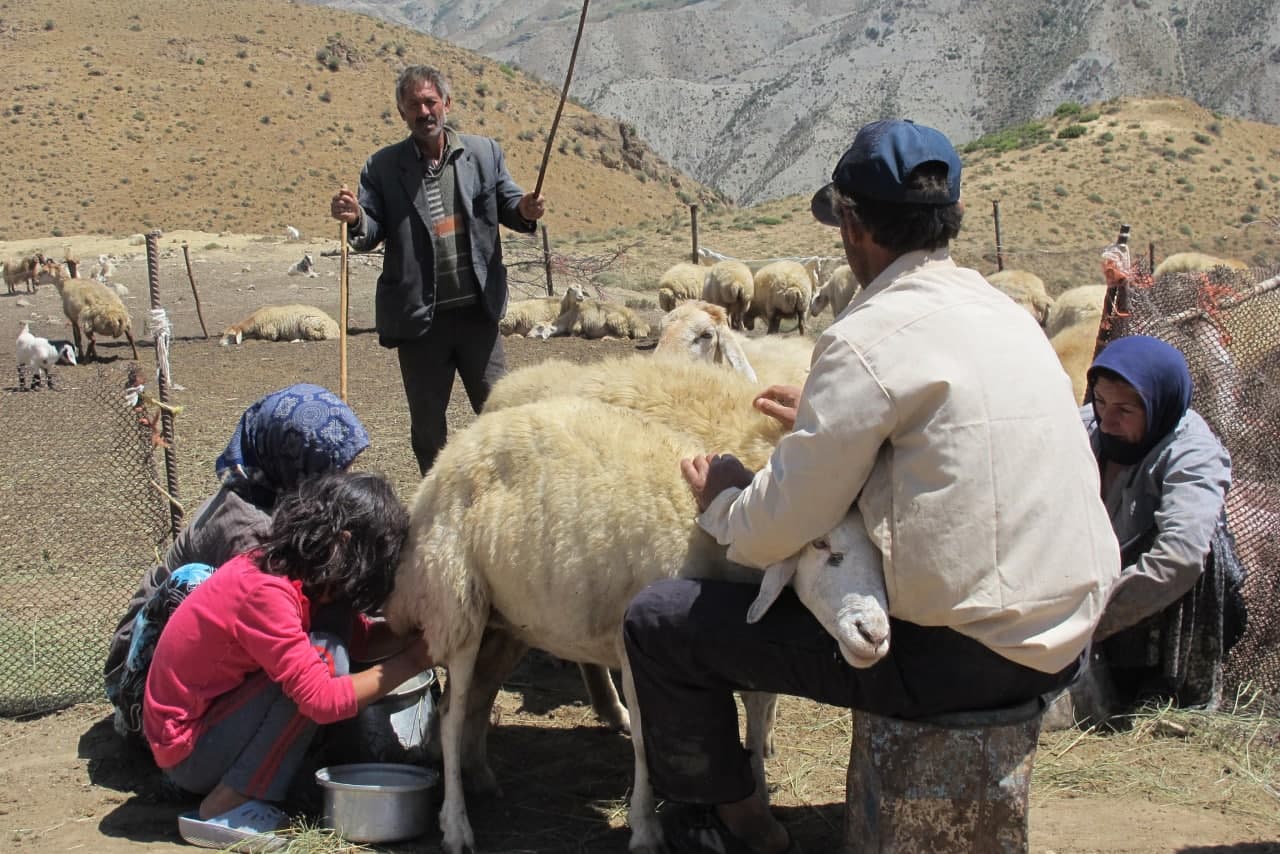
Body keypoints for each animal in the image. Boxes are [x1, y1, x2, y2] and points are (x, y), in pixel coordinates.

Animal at [383, 393, 891, 854]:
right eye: (820, 545)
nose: (875, 635)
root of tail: (450, 454)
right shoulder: (632, 646)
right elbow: (650, 740)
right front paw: (646, 829)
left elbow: (747, 718)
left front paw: (754, 808)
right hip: (456, 605)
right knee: (449, 717)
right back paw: (456, 826)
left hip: (506, 620)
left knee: (476, 700)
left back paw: (480, 778)